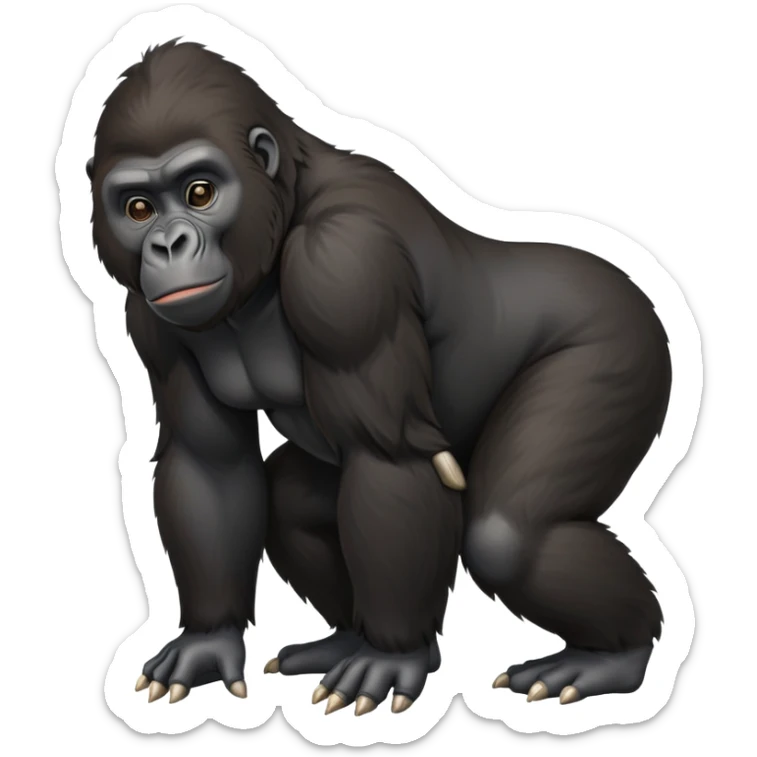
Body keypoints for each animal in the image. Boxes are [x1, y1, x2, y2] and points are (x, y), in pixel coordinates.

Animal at [86, 40, 671, 716]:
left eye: (201, 192)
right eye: (138, 208)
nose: (168, 244)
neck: (280, 215)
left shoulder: (345, 267)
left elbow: (388, 460)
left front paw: (392, 658)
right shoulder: (149, 321)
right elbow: (211, 463)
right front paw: (208, 639)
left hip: (621, 345)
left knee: (510, 535)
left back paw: (610, 656)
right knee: (293, 501)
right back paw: (346, 638)